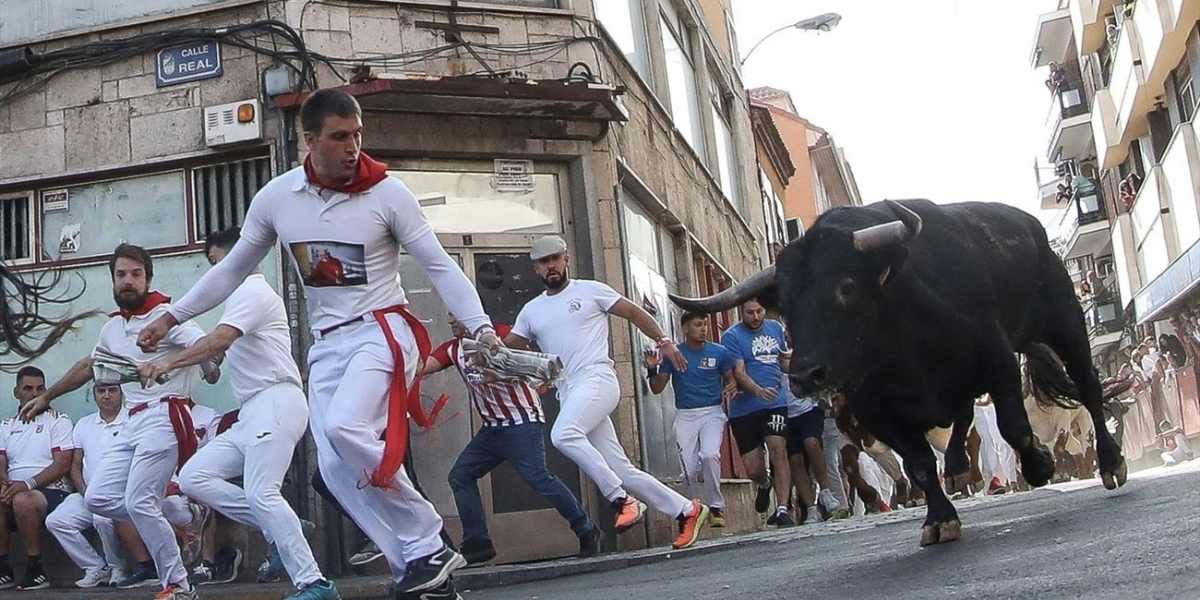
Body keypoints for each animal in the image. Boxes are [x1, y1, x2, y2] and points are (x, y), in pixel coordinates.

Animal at [672, 199, 1128, 547]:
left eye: (846, 286)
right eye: (783, 304)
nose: (805, 375)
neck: (900, 343)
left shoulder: (997, 361)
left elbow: (1014, 427)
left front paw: (1040, 465)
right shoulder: (875, 414)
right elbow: (920, 463)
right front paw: (939, 519)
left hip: (1064, 322)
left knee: (1088, 388)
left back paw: (1110, 463)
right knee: (961, 417)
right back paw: (957, 464)